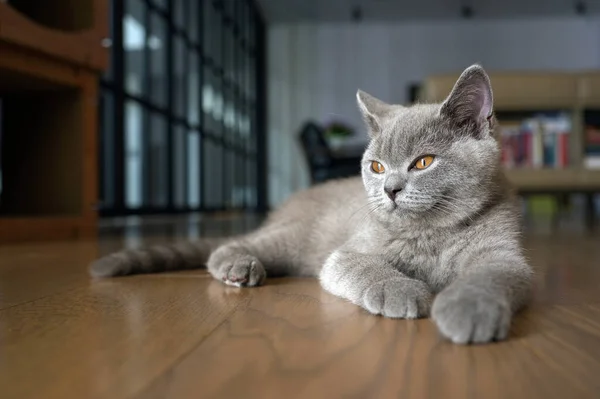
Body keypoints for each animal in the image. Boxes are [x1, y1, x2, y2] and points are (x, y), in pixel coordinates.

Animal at [89, 65, 528, 344]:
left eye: (423, 162)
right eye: (376, 166)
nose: (389, 189)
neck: (430, 234)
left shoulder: (505, 255)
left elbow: (492, 275)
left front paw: (468, 309)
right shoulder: (347, 251)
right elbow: (363, 265)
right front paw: (402, 291)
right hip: (293, 241)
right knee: (226, 246)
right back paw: (238, 267)